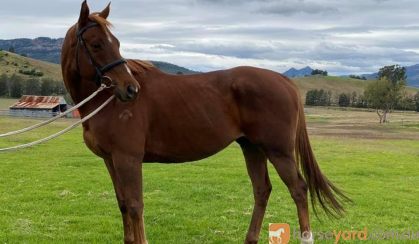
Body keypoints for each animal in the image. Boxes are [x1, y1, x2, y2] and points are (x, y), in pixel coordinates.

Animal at [60, 0, 348, 243]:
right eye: (96, 44)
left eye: (116, 44)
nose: (131, 89)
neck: (105, 101)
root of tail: (284, 80)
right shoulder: (111, 160)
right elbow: (122, 204)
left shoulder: (128, 158)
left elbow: (134, 205)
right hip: (252, 148)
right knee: (262, 190)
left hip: (279, 151)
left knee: (298, 189)